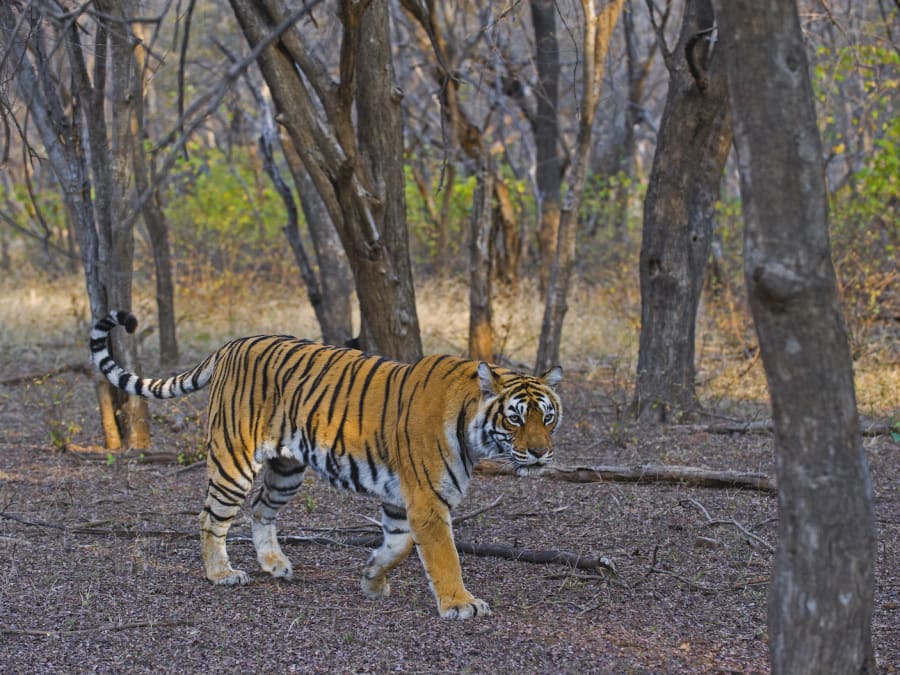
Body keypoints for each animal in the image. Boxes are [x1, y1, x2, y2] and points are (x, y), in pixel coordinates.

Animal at [90, 310, 563, 619]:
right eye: (515, 417)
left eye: (548, 416)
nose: (541, 453)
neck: (469, 427)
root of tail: (231, 344)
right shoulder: (427, 501)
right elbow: (444, 556)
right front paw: (461, 604)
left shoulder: (402, 499)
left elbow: (398, 545)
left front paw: (372, 579)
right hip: (234, 460)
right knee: (211, 517)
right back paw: (221, 573)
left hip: (285, 469)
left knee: (260, 510)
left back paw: (275, 565)